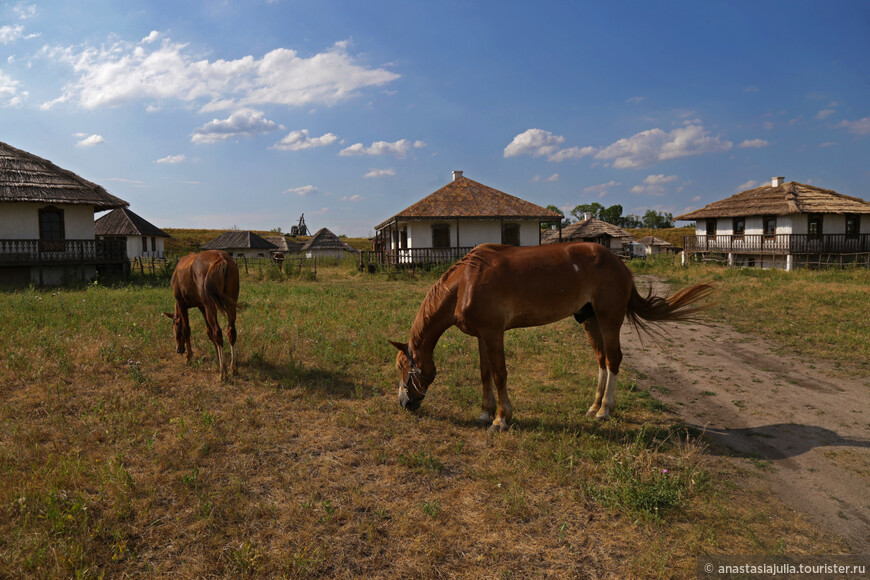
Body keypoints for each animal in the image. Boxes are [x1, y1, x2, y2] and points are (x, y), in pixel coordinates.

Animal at [164, 250, 240, 380]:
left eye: (174, 328)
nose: (178, 350)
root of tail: (221, 259)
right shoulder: (202, 307)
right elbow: (209, 332)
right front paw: (218, 357)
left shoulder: (182, 305)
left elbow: (187, 330)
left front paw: (188, 357)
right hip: (230, 304)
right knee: (231, 332)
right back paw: (232, 368)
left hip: (211, 305)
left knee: (218, 332)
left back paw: (223, 371)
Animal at [392, 241, 712, 430]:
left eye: (402, 367)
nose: (404, 403)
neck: (466, 282)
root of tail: (618, 262)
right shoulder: (482, 335)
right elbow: (484, 374)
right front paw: (485, 413)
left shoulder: (494, 334)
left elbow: (499, 375)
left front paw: (501, 418)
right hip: (589, 320)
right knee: (602, 360)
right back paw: (593, 406)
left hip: (609, 319)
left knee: (614, 360)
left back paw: (605, 410)